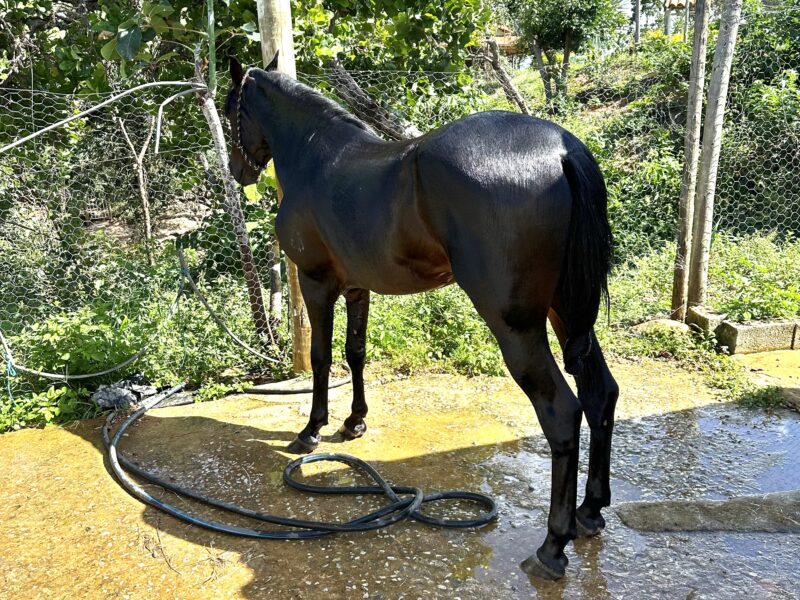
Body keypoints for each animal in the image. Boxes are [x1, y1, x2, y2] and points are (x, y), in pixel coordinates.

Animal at [223, 54, 619, 580]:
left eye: (231, 107)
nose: (237, 170)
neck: (314, 160)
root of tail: (561, 149)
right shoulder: (357, 288)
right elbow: (355, 353)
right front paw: (354, 422)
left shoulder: (315, 283)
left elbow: (322, 356)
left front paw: (311, 430)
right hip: (569, 313)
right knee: (600, 394)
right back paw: (590, 510)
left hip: (517, 327)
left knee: (562, 413)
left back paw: (553, 545)